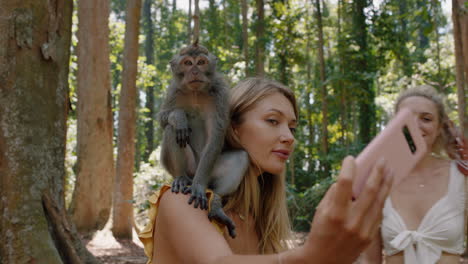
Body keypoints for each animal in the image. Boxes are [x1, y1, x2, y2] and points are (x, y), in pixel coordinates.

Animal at [158, 41, 249, 239]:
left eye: (200, 62)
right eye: (187, 63)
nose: (194, 72)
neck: (195, 92)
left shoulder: (221, 92)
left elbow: (216, 135)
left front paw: (199, 187)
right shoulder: (173, 90)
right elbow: (163, 119)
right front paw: (178, 117)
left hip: (207, 170)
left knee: (241, 157)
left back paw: (215, 203)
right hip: (189, 166)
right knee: (172, 130)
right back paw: (181, 178)